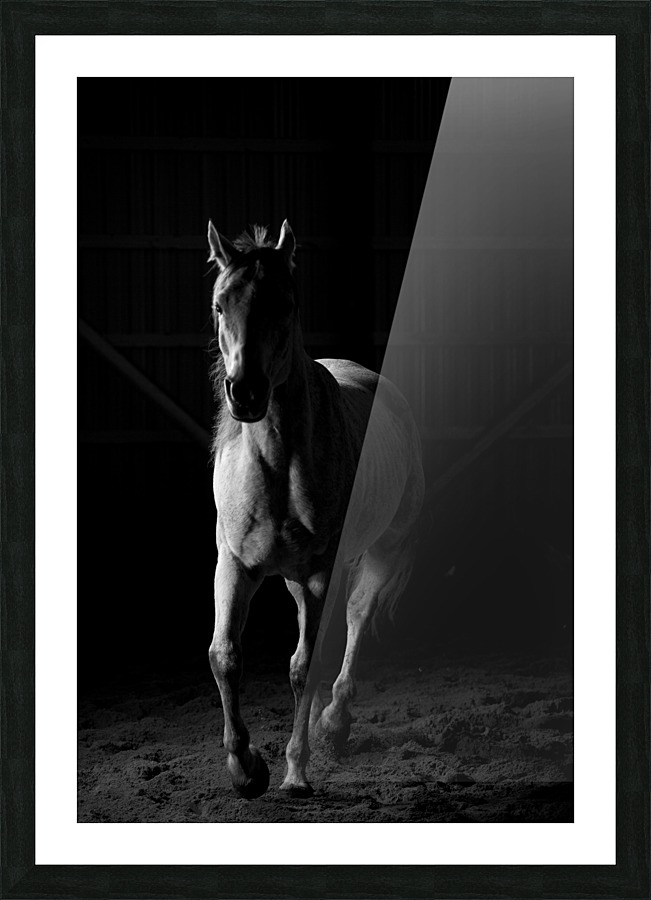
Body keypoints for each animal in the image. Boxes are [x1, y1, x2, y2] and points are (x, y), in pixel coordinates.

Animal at [207, 219, 424, 799]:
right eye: (220, 304)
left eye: (285, 304)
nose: (246, 393)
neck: (278, 469)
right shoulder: (234, 566)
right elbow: (225, 656)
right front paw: (245, 768)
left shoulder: (323, 573)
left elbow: (304, 667)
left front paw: (295, 772)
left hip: (377, 553)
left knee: (354, 621)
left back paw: (335, 722)